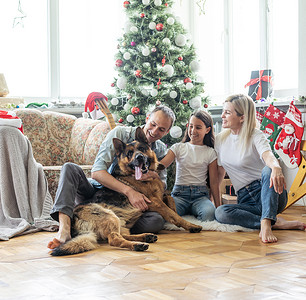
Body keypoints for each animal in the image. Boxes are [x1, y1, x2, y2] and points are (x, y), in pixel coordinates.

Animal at [51, 126, 202, 255]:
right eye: (129, 153)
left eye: (142, 148)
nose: (139, 157)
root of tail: (74, 221)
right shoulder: (154, 202)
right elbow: (174, 215)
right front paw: (191, 225)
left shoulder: (161, 196)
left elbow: (170, 200)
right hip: (110, 217)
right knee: (114, 239)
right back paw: (137, 245)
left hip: (119, 222)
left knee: (122, 234)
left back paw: (145, 237)